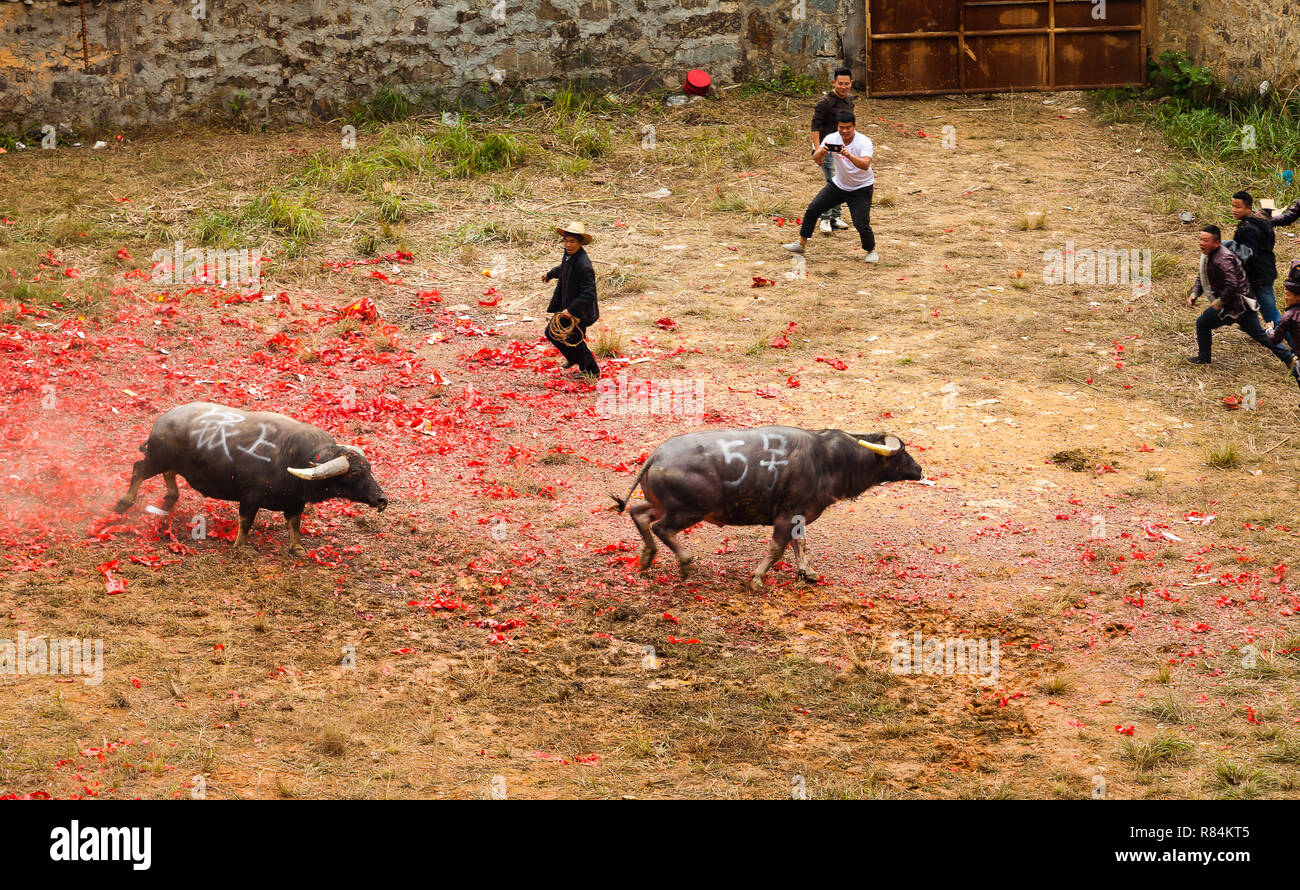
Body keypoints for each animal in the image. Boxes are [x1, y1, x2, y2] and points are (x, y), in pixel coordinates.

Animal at [113, 402, 387, 554]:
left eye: (369, 468)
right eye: (354, 473)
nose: (381, 499)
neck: (294, 457)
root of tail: (162, 421)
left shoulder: (295, 503)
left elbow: (294, 525)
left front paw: (297, 548)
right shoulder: (251, 496)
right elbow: (246, 521)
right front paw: (241, 546)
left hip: (169, 462)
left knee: (168, 475)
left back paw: (170, 497)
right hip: (156, 459)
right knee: (138, 469)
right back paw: (123, 504)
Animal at [611, 427, 924, 589]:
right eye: (902, 454)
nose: (919, 470)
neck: (826, 460)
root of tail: (657, 455)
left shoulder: (798, 517)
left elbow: (800, 544)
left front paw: (807, 572)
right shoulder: (786, 517)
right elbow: (777, 549)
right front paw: (757, 577)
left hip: (661, 504)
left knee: (638, 514)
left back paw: (646, 559)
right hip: (687, 511)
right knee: (661, 529)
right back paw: (685, 563)